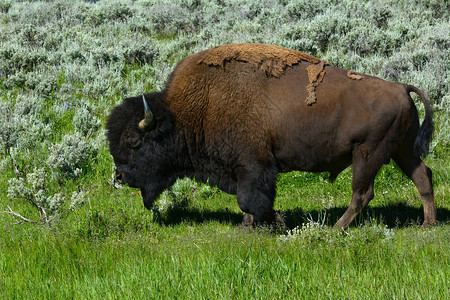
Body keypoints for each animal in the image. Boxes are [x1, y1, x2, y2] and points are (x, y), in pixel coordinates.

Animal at [105, 43, 436, 229]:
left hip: (367, 154)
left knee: (362, 193)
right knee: (423, 176)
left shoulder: (253, 166)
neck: (187, 111)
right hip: (401, 150)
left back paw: (336, 228)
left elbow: (250, 199)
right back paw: (427, 224)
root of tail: (401, 87)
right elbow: (250, 201)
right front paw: (250, 225)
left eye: (134, 142)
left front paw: (267, 223)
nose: (119, 177)